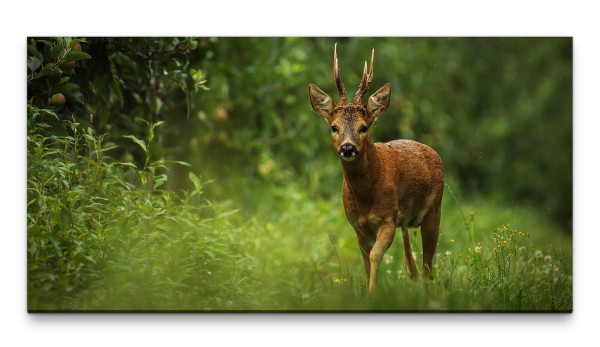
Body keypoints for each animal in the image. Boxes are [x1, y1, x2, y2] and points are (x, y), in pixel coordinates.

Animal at [310, 42, 446, 294]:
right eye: (334, 127)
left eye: (364, 127)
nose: (347, 148)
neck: (366, 197)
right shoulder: (358, 226)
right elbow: (365, 261)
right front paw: (371, 290)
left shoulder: (387, 218)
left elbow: (375, 256)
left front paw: (373, 293)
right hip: (406, 219)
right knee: (412, 260)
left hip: (435, 208)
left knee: (428, 262)